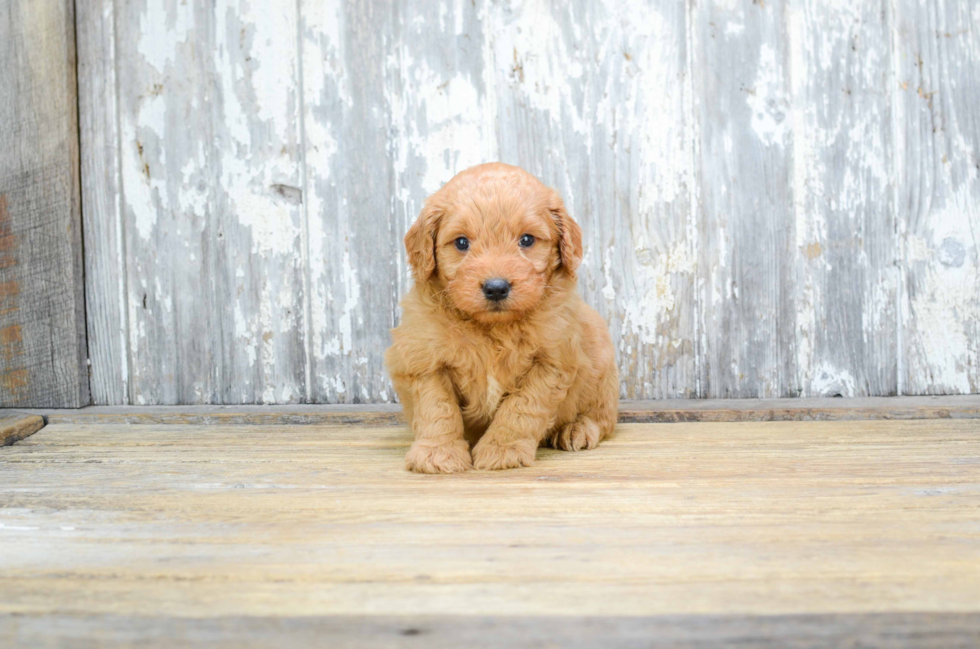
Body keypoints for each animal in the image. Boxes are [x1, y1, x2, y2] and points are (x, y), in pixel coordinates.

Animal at [386, 159, 616, 468]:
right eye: (461, 243)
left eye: (527, 240)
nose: (496, 288)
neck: (493, 328)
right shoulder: (423, 361)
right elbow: (438, 409)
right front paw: (438, 453)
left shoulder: (552, 361)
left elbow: (521, 409)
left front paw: (502, 450)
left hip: (602, 368)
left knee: (602, 417)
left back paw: (576, 428)